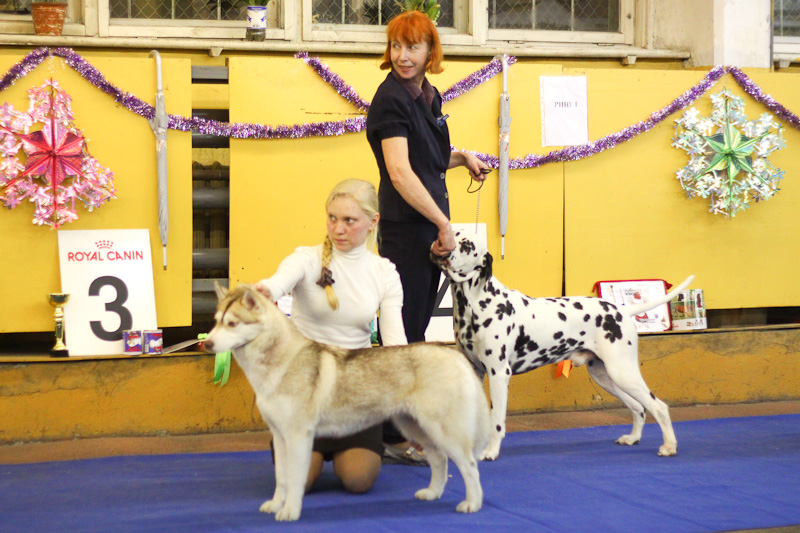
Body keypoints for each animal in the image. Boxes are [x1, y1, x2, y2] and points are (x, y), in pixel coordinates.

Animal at [203, 283, 490, 521]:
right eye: (216, 322)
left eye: (232, 324)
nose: (207, 343)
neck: (279, 363)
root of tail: (452, 353)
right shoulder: (280, 436)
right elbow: (281, 478)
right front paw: (276, 505)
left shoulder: (298, 436)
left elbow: (295, 479)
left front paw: (290, 512)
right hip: (414, 427)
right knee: (440, 460)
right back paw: (433, 493)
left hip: (443, 431)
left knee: (470, 466)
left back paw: (473, 503)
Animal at [431, 231, 694, 461]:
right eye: (453, 234)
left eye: (467, 245)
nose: (442, 245)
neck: (476, 303)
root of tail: (622, 310)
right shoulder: (475, 371)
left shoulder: (498, 374)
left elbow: (496, 421)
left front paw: (491, 452)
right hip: (605, 376)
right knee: (638, 407)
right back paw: (633, 438)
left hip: (623, 372)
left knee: (658, 406)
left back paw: (669, 446)